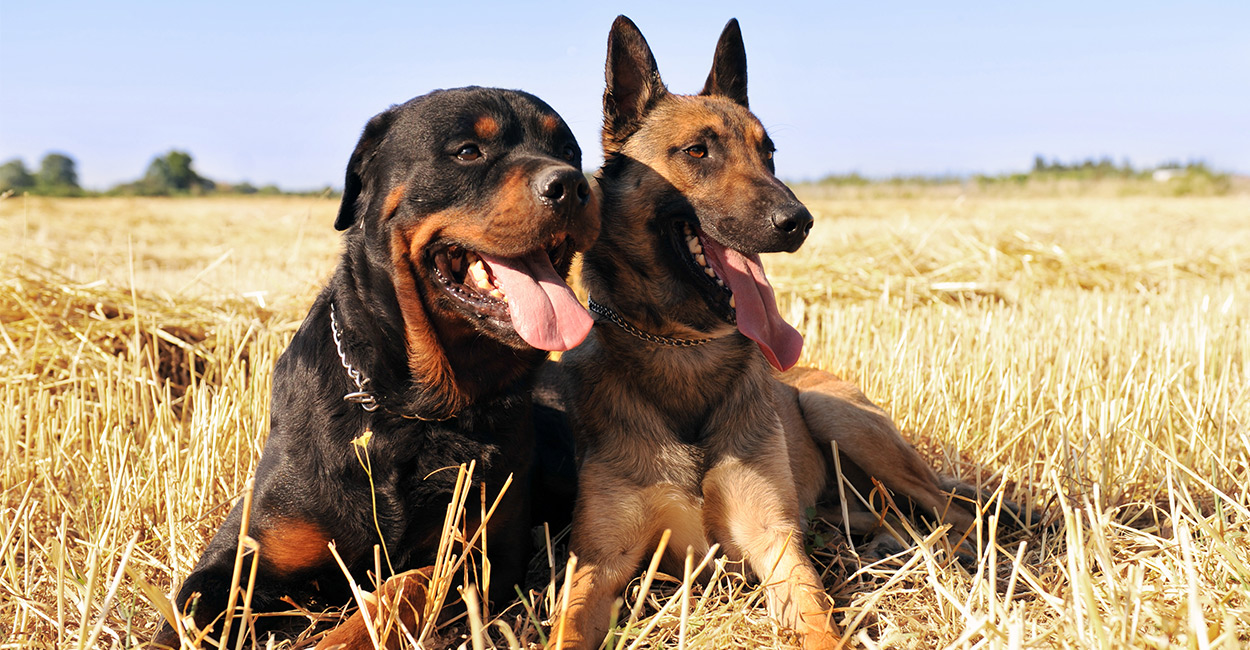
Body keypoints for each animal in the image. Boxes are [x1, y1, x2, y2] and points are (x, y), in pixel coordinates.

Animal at [151, 87, 600, 650]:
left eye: (569, 152)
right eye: (468, 151)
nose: (574, 185)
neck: (411, 408)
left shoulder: (485, 555)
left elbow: (407, 586)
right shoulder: (240, 556)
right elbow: (189, 614)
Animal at [547, 17, 1005, 645]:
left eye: (768, 153)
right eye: (698, 151)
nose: (799, 222)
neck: (683, 350)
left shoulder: (776, 543)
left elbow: (819, 622)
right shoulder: (600, 560)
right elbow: (566, 627)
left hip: (840, 419)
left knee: (957, 511)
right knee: (889, 513)